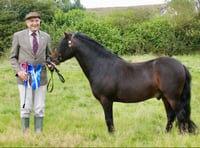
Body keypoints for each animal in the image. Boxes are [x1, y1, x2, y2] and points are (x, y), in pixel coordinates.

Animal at [50, 31, 198, 134]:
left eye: (61, 44)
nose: (51, 60)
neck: (101, 66)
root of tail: (181, 65)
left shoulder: (106, 100)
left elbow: (109, 120)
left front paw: (111, 136)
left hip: (172, 97)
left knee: (181, 115)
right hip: (165, 98)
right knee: (171, 116)